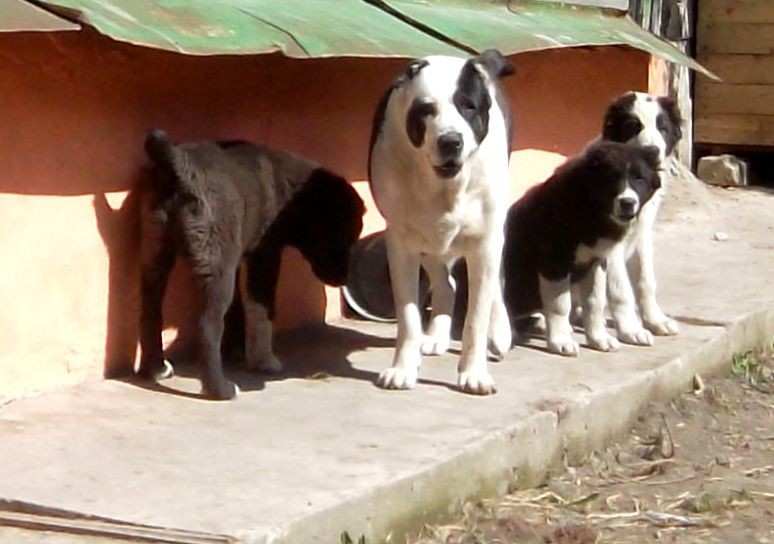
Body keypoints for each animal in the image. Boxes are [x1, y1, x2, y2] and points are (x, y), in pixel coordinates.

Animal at [372, 49, 520, 394]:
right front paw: (403, 368)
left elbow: (476, 317)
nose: (451, 141)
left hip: (494, 236)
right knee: (446, 283)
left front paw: (473, 373)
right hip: (428, 242)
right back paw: (436, 335)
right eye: (426, 110)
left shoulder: (485, 242)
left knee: (495, 284)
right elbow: (408, 315)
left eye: (468, 106)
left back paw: (500, 332)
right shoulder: (401, 243)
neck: (445, 188)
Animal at [506, 139, 664, 356]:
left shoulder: (597, 260)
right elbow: (560, 304)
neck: (590, 208)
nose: (627, 203)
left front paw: (598, 339)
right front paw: (560, 341)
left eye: (640, 180)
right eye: (611, 179)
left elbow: (595, 301)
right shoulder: (554, 262)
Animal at [600, 90, 684, 344]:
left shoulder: (642, 236)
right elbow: (621, 289)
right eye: (632, 127)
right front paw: (631, 329)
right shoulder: (610, 246)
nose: (652, 151)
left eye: (662, 127)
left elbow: (646, 281)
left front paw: (656, 320)